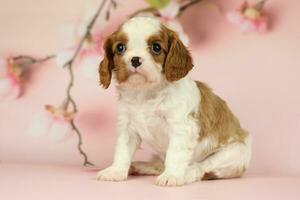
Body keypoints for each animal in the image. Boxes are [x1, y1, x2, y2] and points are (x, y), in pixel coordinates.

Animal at [96, 16, 251, 186]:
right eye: (120, 48)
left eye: (156, 47)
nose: (135, 60)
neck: (145, 92)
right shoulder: (127, 128)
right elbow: (122, 152)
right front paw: (115, 171)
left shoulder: (181, 128)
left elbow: (175, 154)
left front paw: (172, 176)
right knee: (161, 163)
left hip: (232, 153)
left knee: (202, 168)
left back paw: (186, 174)